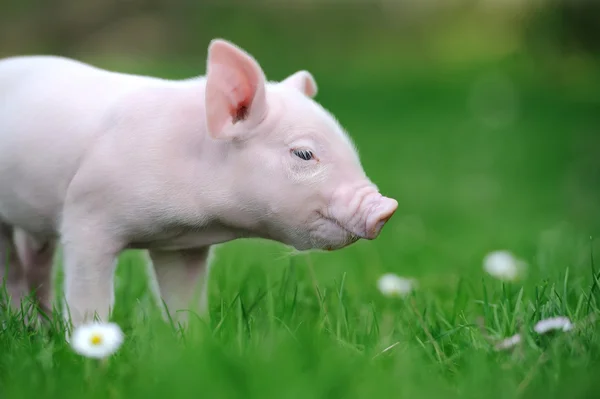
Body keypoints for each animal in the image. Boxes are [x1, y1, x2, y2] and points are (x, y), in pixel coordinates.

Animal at [0, 39, 398, 330]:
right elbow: (89, 297)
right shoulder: (86, 215)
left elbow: (184, 300)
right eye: (304, 154)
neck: (190, 218)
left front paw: (190, 347)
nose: (387, 208)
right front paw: (92, 351)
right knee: (14, 268)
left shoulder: (181, 247)